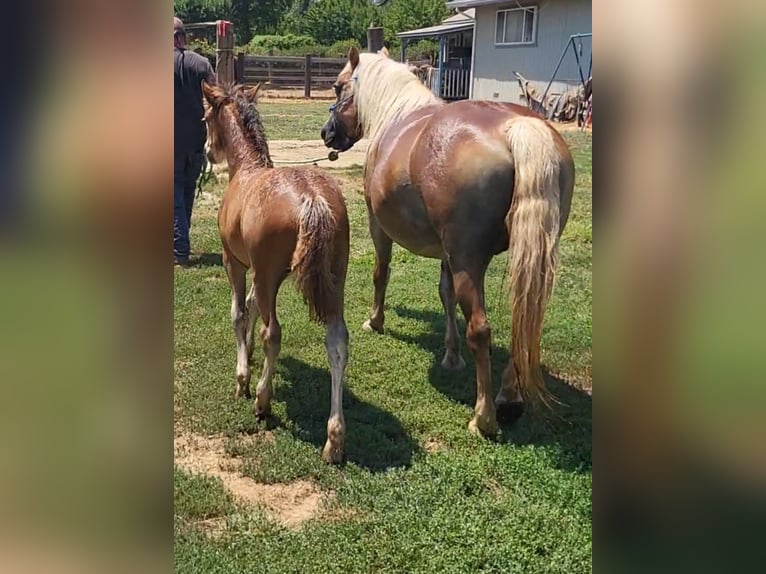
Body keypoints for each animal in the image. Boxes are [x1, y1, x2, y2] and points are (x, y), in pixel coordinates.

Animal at [201, 83, 352, 466]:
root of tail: (312, 198)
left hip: (268, 273)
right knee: (337, 341)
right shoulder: (261, 274)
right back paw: (334, 440)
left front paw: (242, 377)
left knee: (274, 332)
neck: (246, 169)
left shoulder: (235, 262)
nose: (208, 151)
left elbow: (239, 312)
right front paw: (248, 352)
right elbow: (253, 305)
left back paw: (262, 400)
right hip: (335, 279)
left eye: (205, 117)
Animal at [320, 47, 576, 438]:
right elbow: (446, 294)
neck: (397, 116)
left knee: (481, 330)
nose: (327, 133)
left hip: (469, 261)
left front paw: (375, 320)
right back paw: (508, 396)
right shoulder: (447, 253)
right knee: (522, 320)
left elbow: (381, 274)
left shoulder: (379, 226)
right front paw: (451, 356)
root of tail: (520, 127)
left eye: (338, 87)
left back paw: (484, 416)